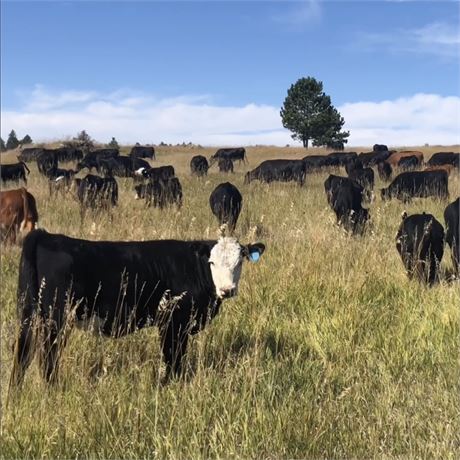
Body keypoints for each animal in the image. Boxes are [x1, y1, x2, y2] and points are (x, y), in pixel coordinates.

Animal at [11, 229, 266, 384]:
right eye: (212, 262)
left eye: (239, 261)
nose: (227, 289)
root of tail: (45, 235)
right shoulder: (172, 322)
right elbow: (173, 358)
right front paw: (169, 384)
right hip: (55, 319)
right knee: (47, 357)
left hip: (28, 314)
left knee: (22, 355)